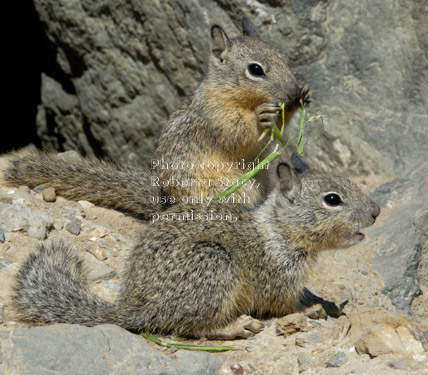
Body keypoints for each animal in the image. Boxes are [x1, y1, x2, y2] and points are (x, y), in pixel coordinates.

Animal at [2, 16, 310, 217]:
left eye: (284, 58)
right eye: (255, 70)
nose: (293, 89)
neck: (230, 95)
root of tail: (168, 206)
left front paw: (301, 98)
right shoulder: (213, 119)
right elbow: (238, 135)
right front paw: (261, 116)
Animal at [10, 153, 382, 340]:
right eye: (332, 199)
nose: (376, 211)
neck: (279, 230)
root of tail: (137, 308)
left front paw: (321, 302)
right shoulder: (274, 280)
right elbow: (283, 306)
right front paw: (308, 311)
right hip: (214, 263)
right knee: (188, 326)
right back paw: (236, 326)